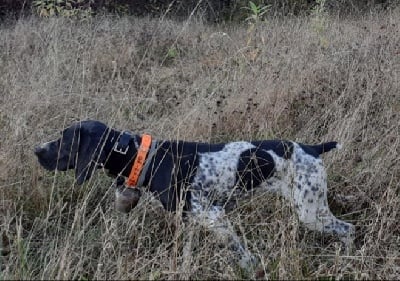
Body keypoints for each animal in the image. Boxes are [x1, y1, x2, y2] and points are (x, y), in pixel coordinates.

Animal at [33, 120, 354, 270]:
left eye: (64, 139)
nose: (36, 150)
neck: (145, 158)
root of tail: (313, 148)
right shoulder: (190, 221)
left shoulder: (214, 216)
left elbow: (241, 253)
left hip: (310, 212)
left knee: (348, 229)